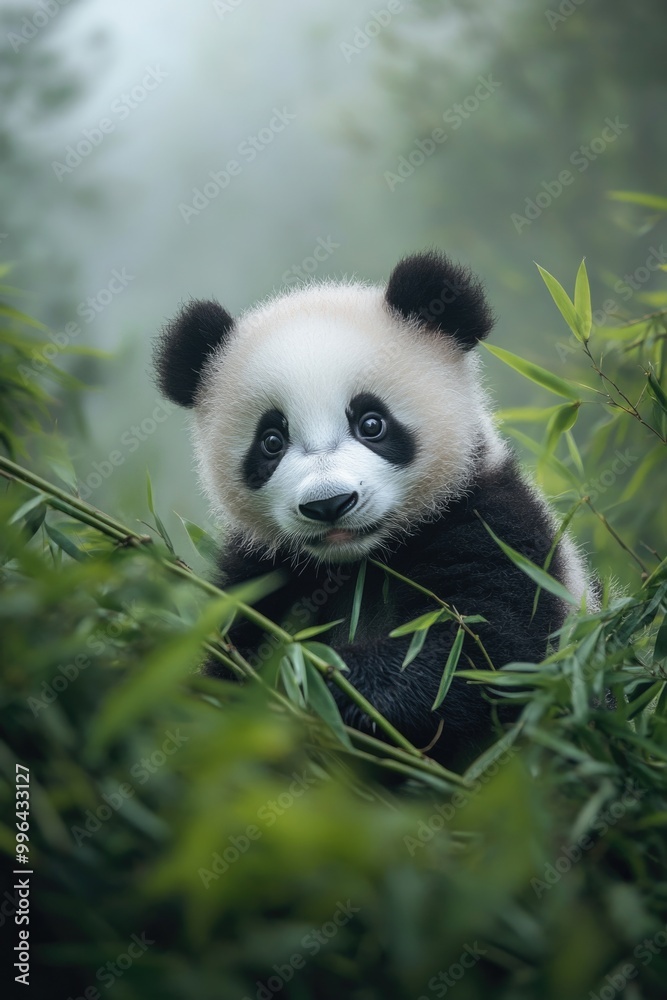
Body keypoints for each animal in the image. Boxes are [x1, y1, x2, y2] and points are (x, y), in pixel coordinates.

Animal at [154, 250, 589, 768]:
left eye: (371, 423)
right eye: (271, 441)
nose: (329, 504)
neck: (359, 563)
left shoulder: (493, 526)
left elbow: (484, 649)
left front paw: (328, 685)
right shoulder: (261, 571)